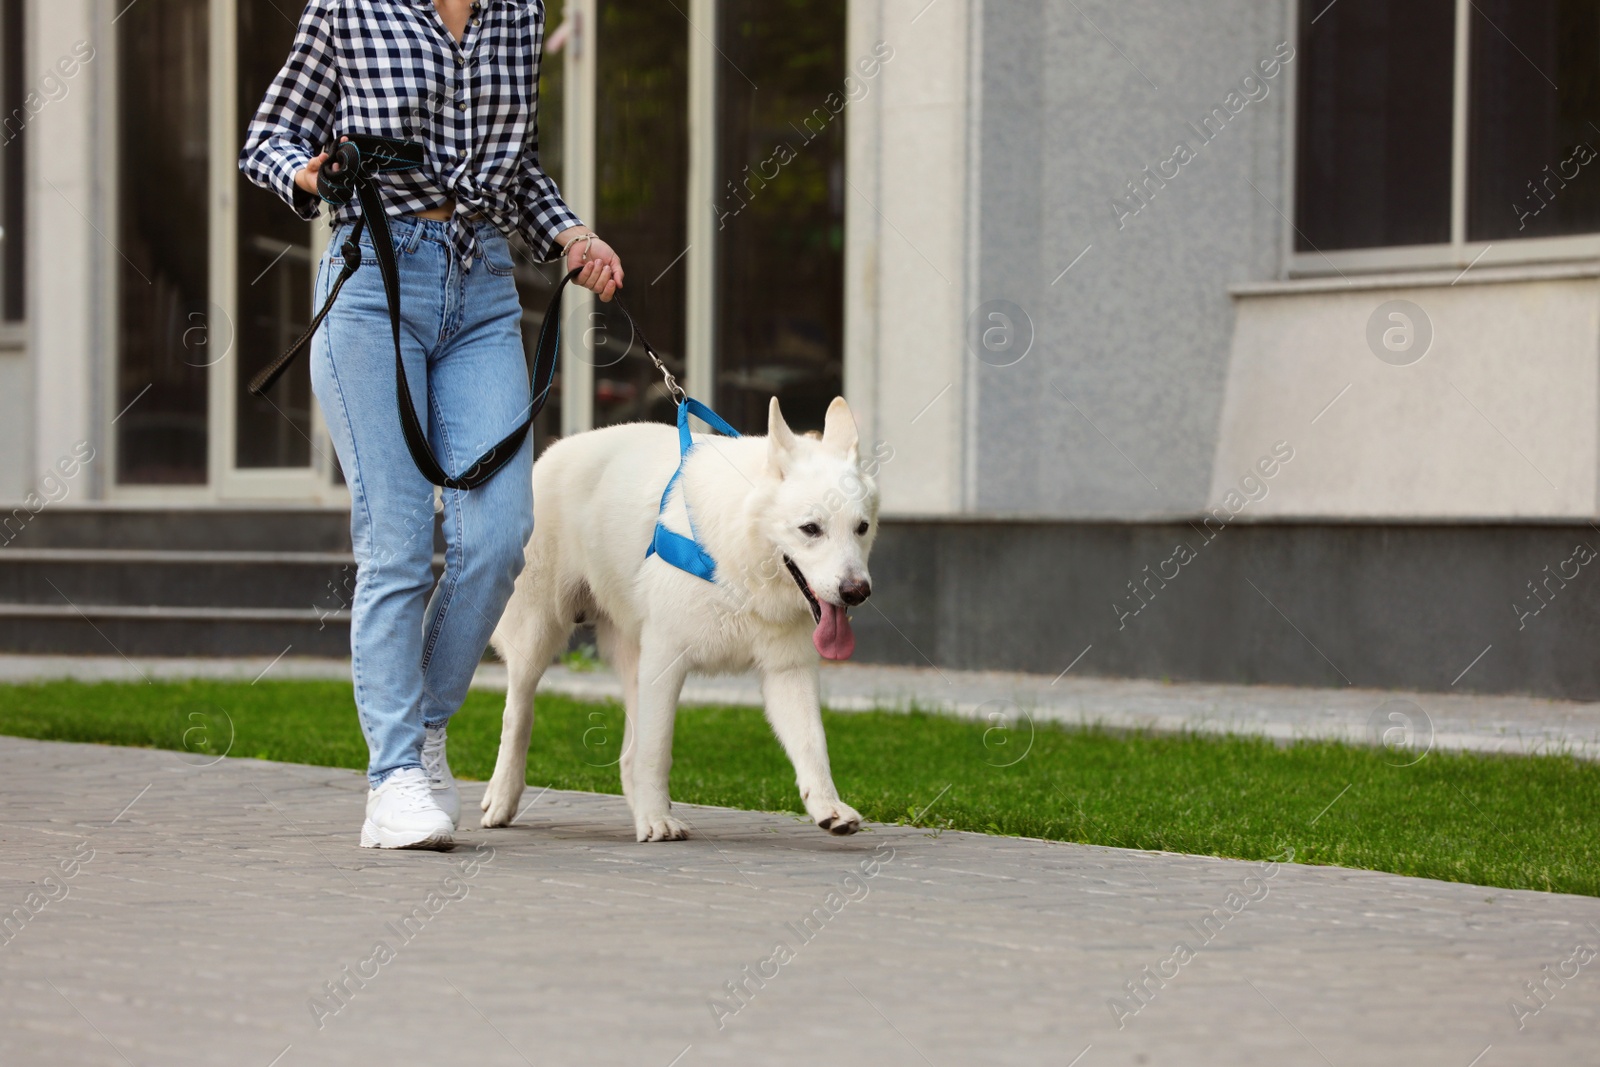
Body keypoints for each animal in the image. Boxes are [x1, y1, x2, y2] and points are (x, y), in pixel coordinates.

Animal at [480, 396, 883, 838]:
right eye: (810, 529)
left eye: (861, 528)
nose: (857, 592)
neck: (738, 561)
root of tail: (550, 452)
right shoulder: (664, 663)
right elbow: (656, 751)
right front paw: (657, 819)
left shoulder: (788, 671)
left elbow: (813, 744)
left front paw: (827, 806)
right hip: (538, 638)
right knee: (517, 716)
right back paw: (502, 798)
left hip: (632, 662)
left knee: (627, 756)